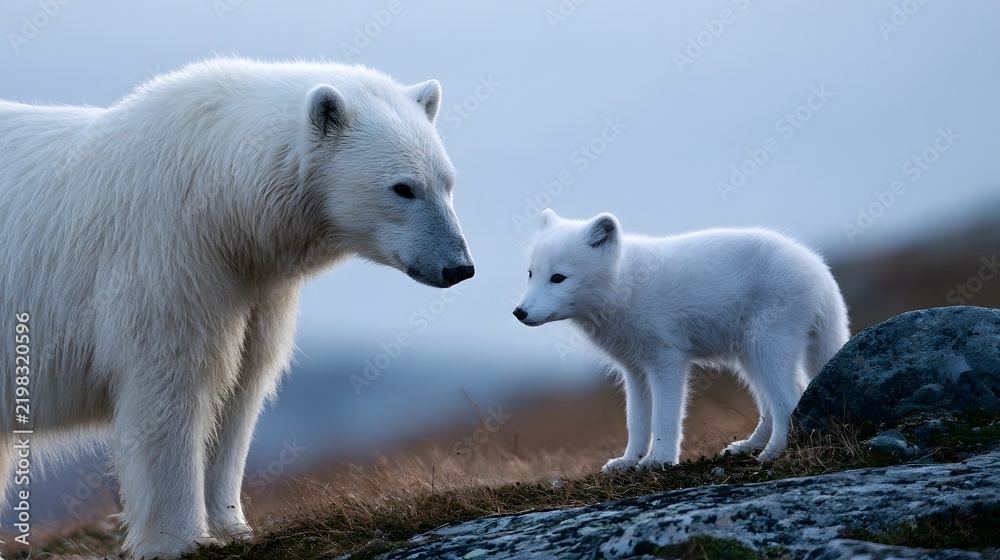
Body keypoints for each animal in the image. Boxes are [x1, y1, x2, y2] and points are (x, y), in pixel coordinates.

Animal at [0, 58, 474, 558]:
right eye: (403, 188)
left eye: (447, 182)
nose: (459, 266)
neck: (218, 203)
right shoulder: (165, 261)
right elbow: (171, 386)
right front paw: (180, 539)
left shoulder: (254, 288)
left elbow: (241, 387)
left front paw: (234, 528)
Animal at [513, 209, 849, 470]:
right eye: (530, 273)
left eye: (558, 278)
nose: (519, 312)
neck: (624, 285)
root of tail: (819, 269)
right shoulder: (634, 370)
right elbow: (637, 421)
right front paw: (628, 461)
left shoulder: (667, 361)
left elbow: (665, 418)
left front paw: (659, 461)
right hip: (749, 358)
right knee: (772, 406)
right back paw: (747, 447)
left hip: (766, 348)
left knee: (789, 399)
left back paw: (773, 454)